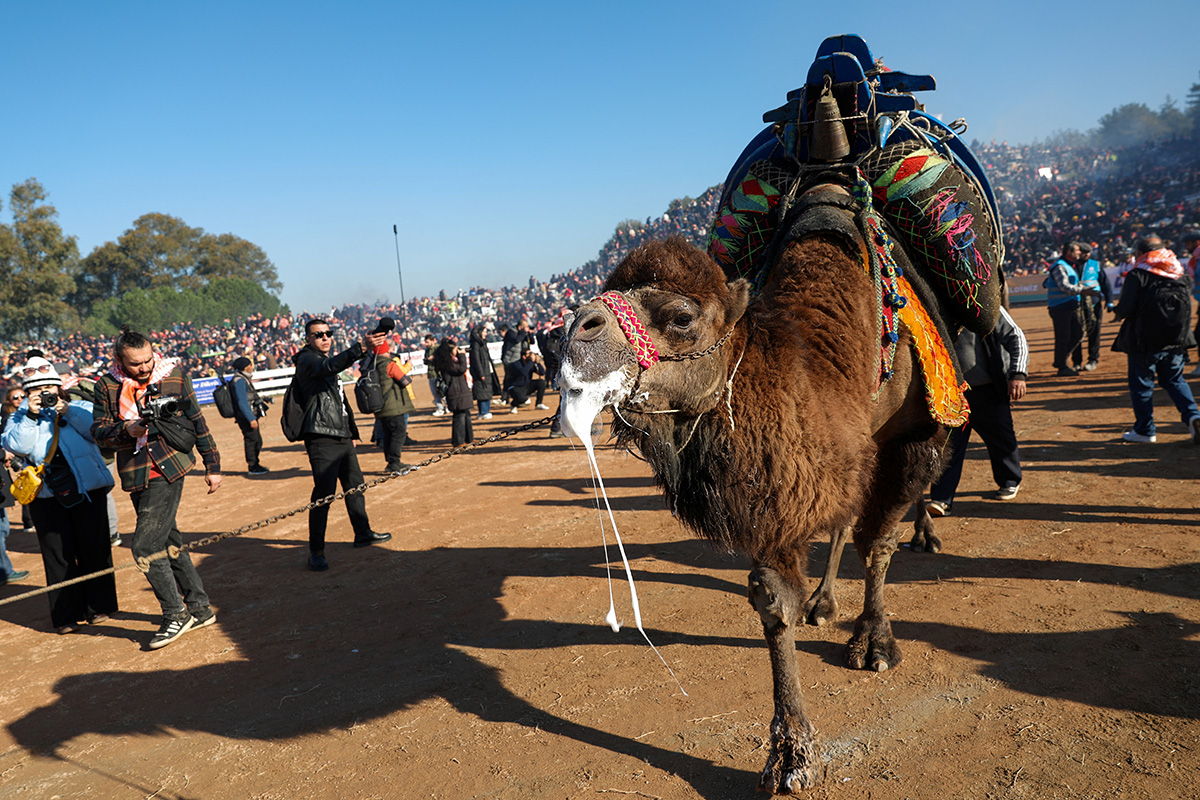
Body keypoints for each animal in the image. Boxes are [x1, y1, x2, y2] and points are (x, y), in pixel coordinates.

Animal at [556, 189, 960, 796]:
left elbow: (876, 545)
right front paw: (790, 753)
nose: (574, 327)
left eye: (681, 317)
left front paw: (874, 644)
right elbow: (773, 598)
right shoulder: (779, 493)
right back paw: (824, 602)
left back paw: (918, 542)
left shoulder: (910, 437)